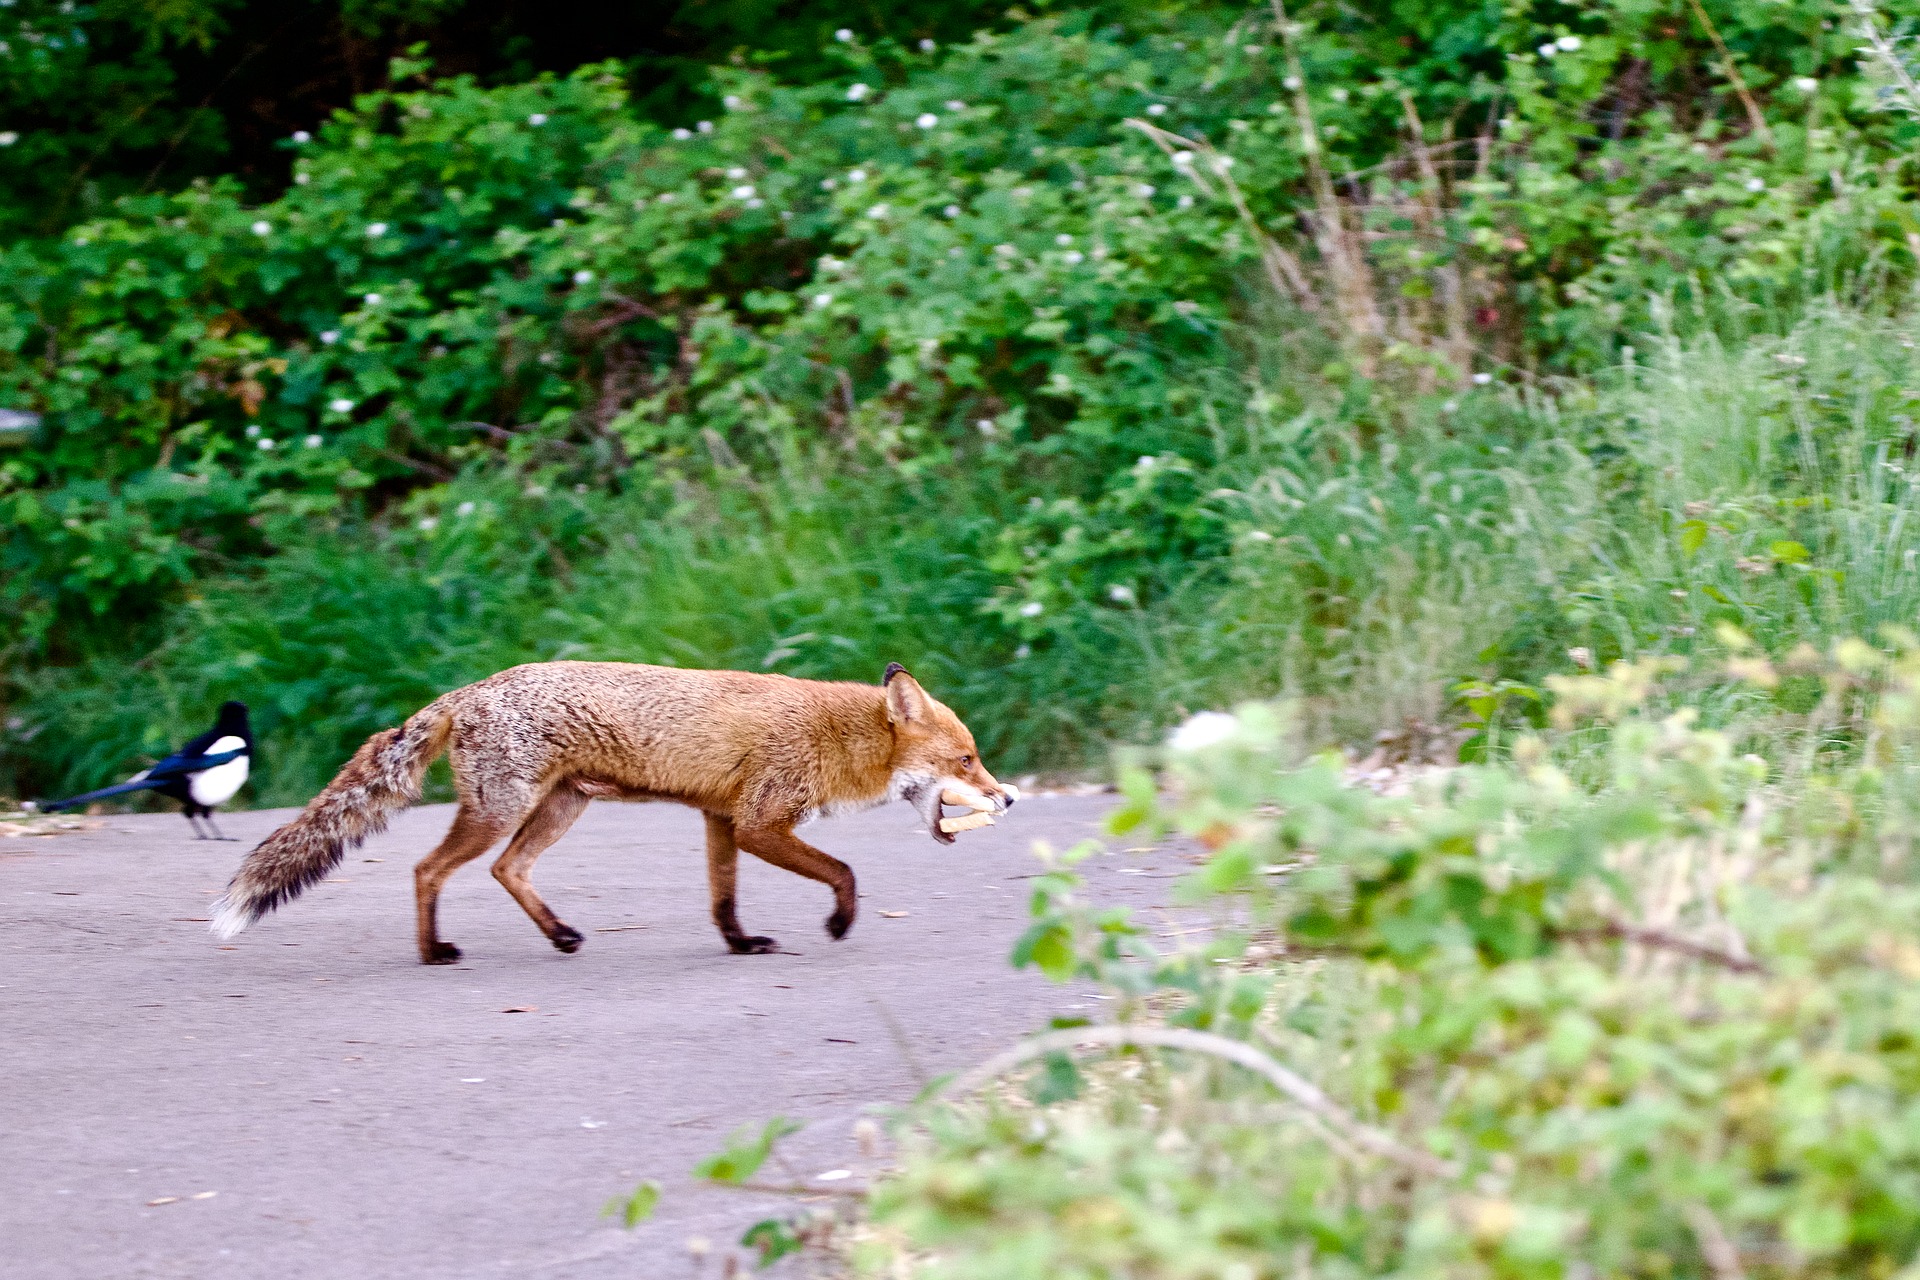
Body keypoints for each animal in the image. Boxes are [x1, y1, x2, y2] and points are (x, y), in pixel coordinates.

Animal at [210, 660, 1013, 963]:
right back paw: (433, 952)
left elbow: (722, 901)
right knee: (426, 870)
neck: (831, 735)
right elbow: (843, 870)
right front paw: (839, 924)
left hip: (557, 813)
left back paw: (561, 935)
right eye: (967, 760)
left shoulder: (720, 822)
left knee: (506, 871)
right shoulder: (759, 823)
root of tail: (469, 689)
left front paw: (740, 944)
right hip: (500, 812)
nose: (1009, 797)